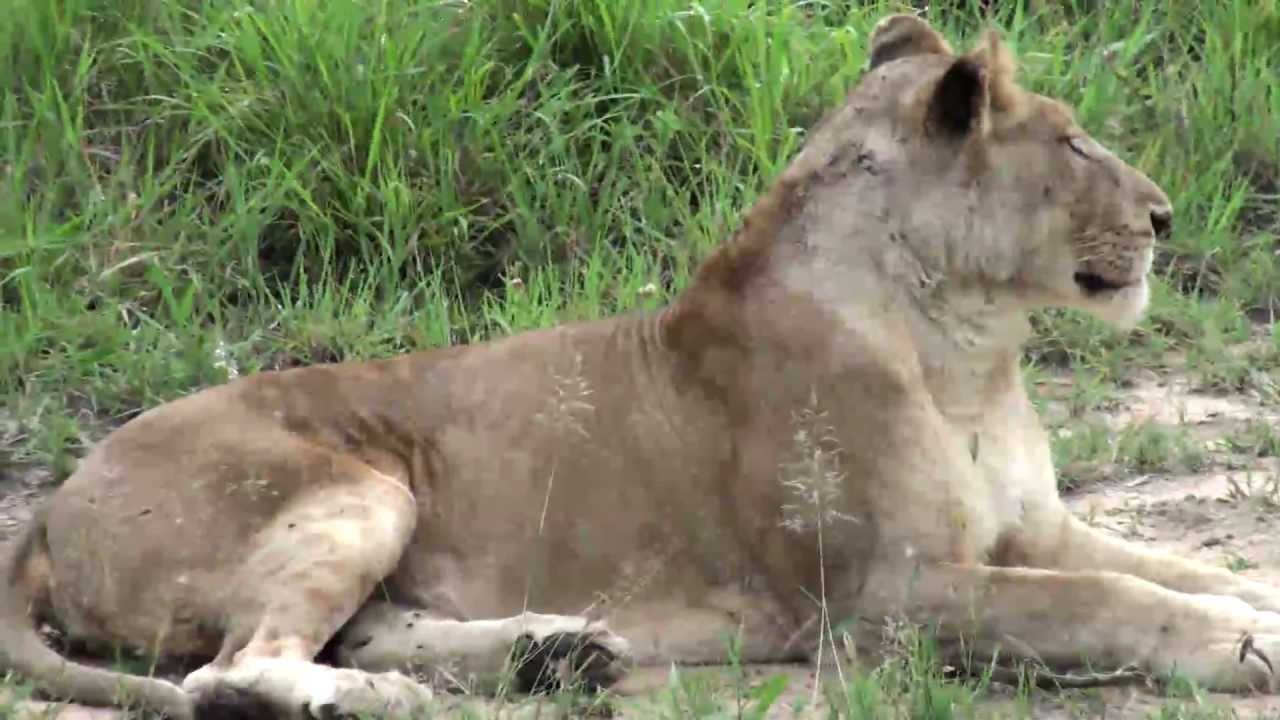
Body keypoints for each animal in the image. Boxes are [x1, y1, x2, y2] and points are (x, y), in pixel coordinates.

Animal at [3, 14, 1278, 719]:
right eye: (1072, 142)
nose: (1164, 218)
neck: (967, 349)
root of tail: (51, 506)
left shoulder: (1032, 530)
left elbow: (1179, 567)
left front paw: (1249, 607)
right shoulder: (881, 597)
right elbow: (1106, 602)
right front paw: (1238, 649)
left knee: (340, 633)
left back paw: (554, 655)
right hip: (354, 485)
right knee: (233, 671)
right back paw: (393, 700)